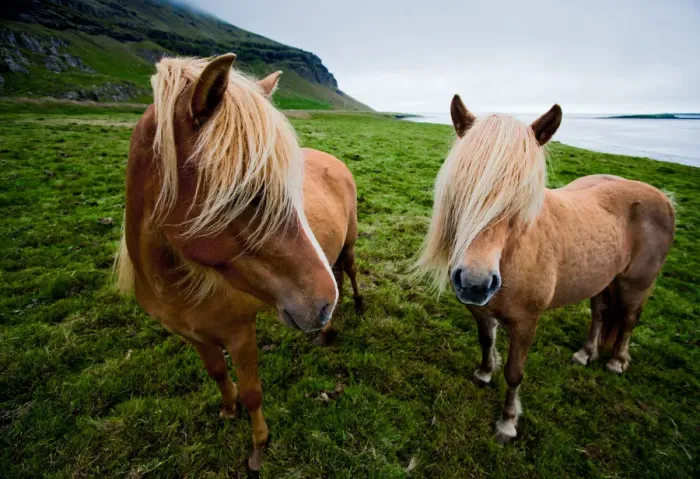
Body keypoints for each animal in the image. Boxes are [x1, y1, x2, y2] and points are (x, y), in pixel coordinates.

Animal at [115, 54, 363, 471]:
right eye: (246, 192)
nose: (322, 302)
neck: (176, 286)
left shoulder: (240, 334)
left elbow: (253, 392)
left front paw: (259, 445)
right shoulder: (194, 335)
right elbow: (217, 372)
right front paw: (228, 410)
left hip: (349, 244)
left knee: (351, 272)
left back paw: (353, 306)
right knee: (339, 275)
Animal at [416, 95, 675, 444]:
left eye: (520, 198)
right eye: (460, 186)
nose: (474, 283)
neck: (512, 255)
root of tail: (663, 197)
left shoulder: (527, 322)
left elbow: (514, 373)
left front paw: (507, 422)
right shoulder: (480, 311)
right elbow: (486, 341)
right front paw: (484, 373)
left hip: (637, 283)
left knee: (629, 319)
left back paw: (617, 362)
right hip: (602, 280)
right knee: (600, 314)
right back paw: (585, 353)